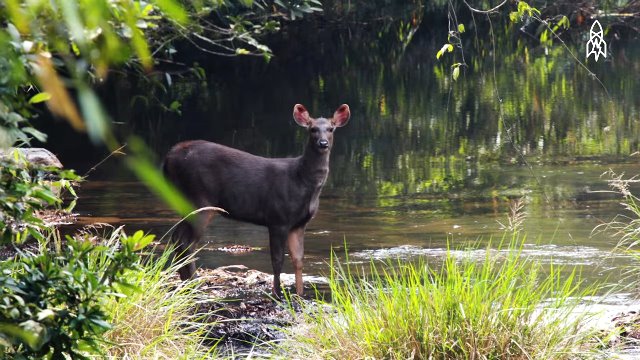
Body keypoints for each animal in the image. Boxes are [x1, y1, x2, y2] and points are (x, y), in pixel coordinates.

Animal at [160, 102, 350, 296]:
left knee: (177, 237)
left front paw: (299, 295)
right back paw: (193, 282)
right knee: (186, 241)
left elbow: (298, 260)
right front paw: (277, 294)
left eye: (331, 129)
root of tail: (168, 158)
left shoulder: (299, 224)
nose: (323, 143)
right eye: (312, 129)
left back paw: (186, 282)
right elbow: (277, 260)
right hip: (199, 198)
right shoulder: (278, 217)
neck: (302, 180)